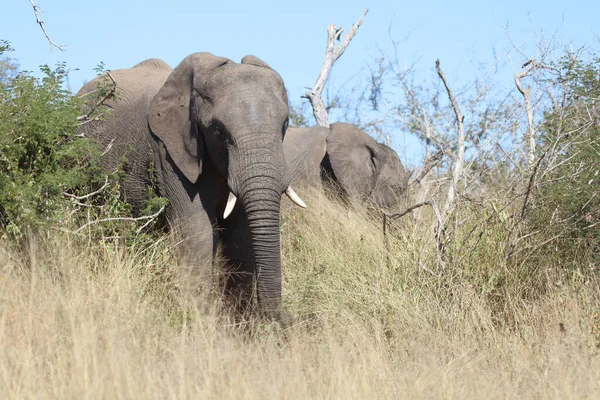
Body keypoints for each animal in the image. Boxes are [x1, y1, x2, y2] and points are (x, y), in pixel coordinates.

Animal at [76, 52, 304, 324]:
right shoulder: (168, 151)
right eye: (218, 131)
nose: (282, 320)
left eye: (285, 124)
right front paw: (202, 321)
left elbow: (241, 235)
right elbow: (197, 229)